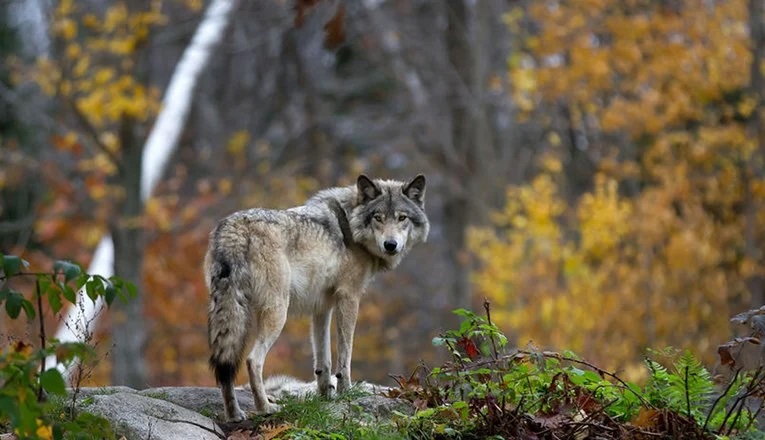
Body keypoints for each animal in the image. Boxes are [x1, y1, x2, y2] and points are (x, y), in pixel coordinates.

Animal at [206, 174, 426, 422]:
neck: (350, 226)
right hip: (277, 312)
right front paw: (345, 393)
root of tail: (234, 228)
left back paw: (234, 414)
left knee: (225, 366)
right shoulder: (349, 298)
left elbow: (323, 360)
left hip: (229, 313)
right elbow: (345, 356)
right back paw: (266, 408)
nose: (390, 245)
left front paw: (325, 397)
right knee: (253, 360)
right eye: (378, 218)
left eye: (402, 218)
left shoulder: (322, 307)